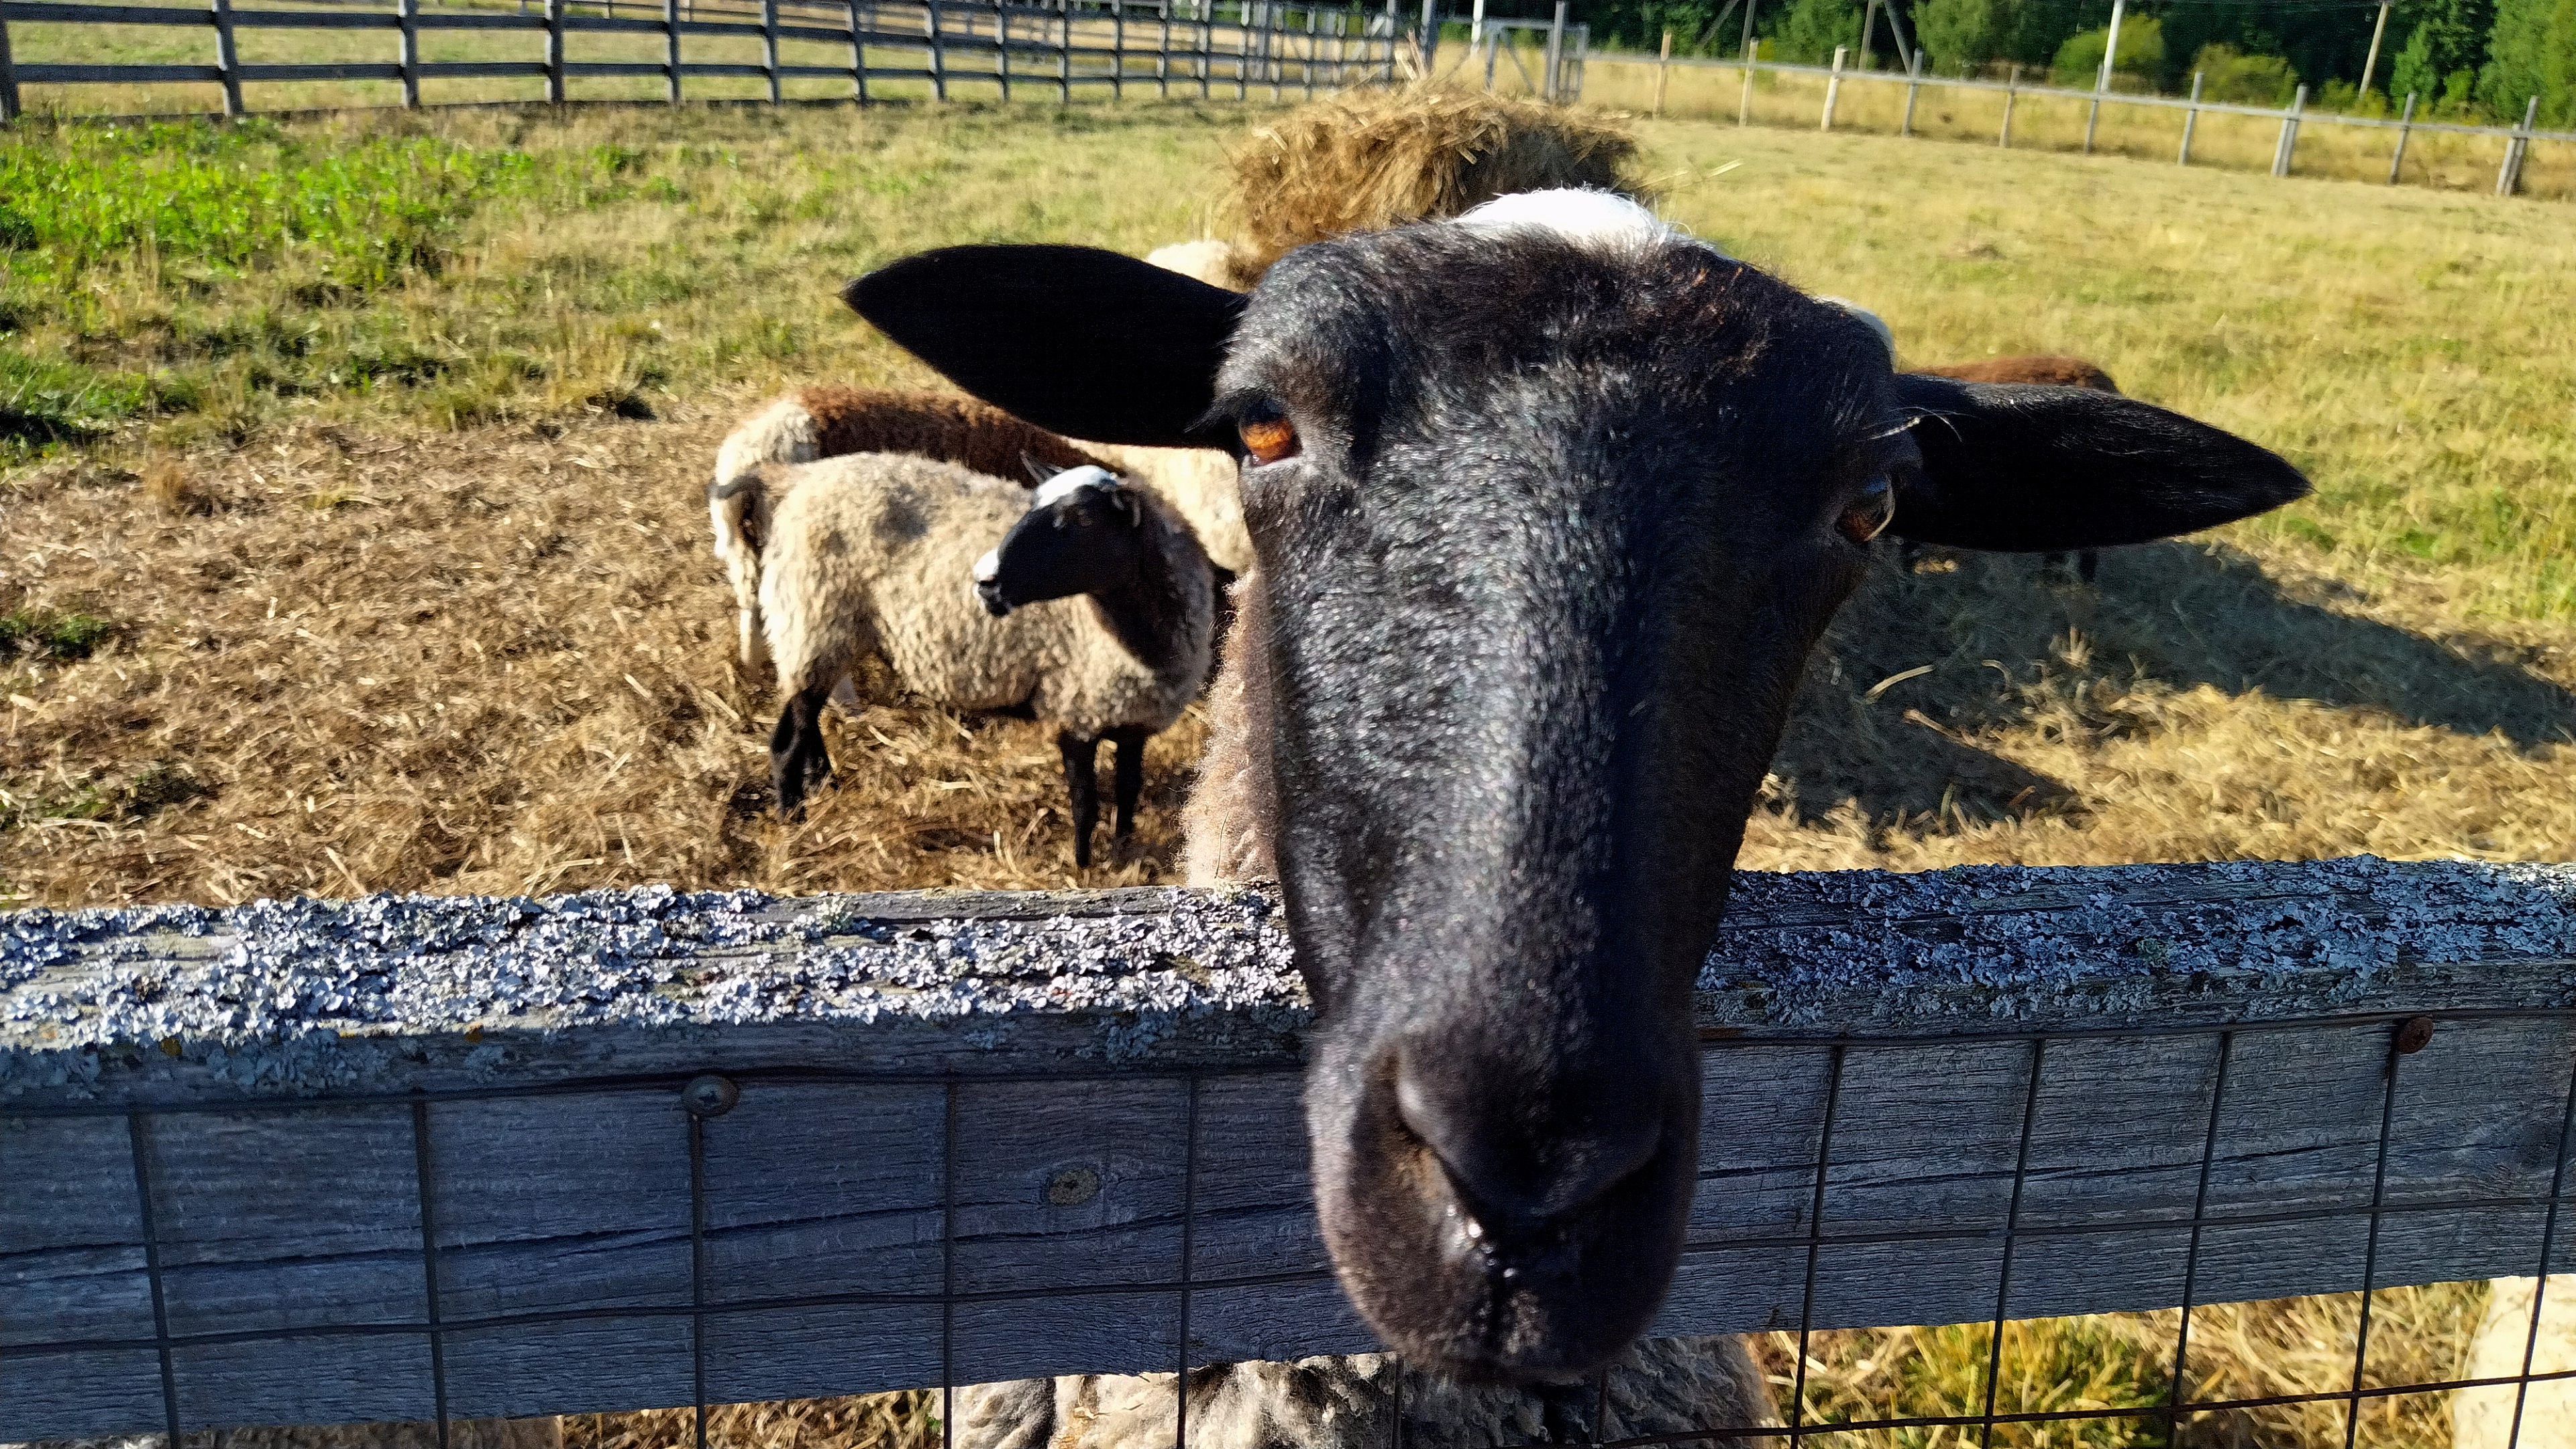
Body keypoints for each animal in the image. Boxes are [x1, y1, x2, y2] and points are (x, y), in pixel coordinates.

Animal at [760, 456, 1213, 867]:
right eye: (1033, 503)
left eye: (1084, 517)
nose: (985, 582)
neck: (1143, 645)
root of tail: (801, 481)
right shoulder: (1075, 708)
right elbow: (1085, 805)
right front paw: (1084, 870)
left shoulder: (1136, 720)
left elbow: (1127, 793)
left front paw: (1123, 858)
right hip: (812, 623)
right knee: (786, 743)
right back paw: (793, 825)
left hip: (820, 638)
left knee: (806, 724)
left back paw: (825, 789)